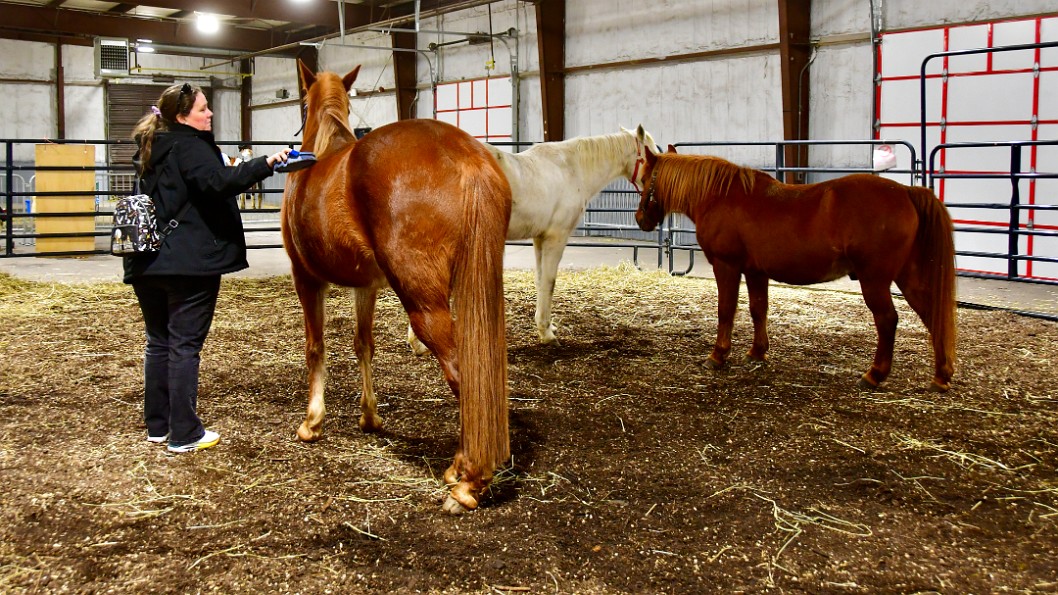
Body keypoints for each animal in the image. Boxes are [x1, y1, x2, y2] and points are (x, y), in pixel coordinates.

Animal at [281, 61, 512, 514]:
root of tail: (466, 157)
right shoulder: (366, 285)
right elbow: (363, 345)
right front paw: (370, 417)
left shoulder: (306, 278)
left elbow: (316, 348)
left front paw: (311, 423)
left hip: (423, 302)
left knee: (461, 375)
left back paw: (466, 482)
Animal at [408, 122, 655, 349]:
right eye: (651, 155)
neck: (572, 169)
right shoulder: (556, 237)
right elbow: (549, 282)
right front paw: (546, 332)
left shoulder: (539, 237)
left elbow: (539, 280)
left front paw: (547, 326)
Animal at [634, 146, 960, 391]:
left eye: (646, 178)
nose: (640, 218)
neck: (718, 196)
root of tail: (906, 191)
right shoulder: (755, 272)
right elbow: (758, 309)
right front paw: (757, 352)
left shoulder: (727, 266)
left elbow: (726, 310)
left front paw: (718, 355)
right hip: (908, 277)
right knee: (932, 314)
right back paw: (941, 376)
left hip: (875, 280)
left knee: (888, 320)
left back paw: (875, 374)